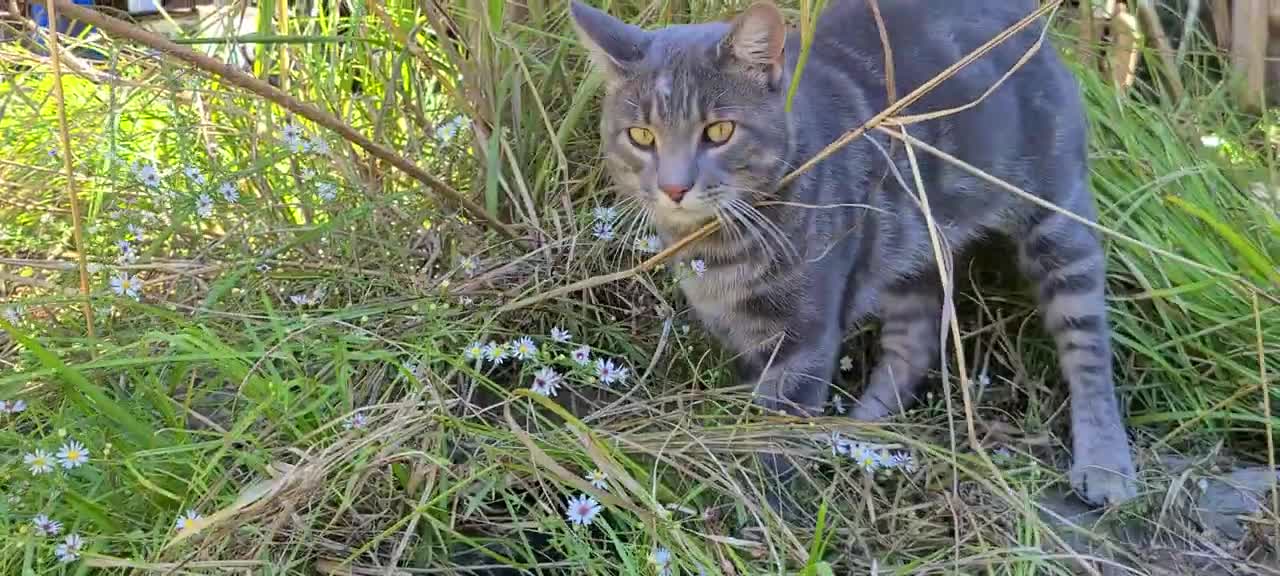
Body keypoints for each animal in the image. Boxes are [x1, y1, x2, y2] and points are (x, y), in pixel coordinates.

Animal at [570, 0, 1141, 504]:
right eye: (641, 136)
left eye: (719, 130)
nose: (674, 187)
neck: (718, 249)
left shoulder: (803, 339)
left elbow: (775, 440)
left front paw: (767, 512)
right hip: (910, 246)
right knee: (913, 341)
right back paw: (860, 436)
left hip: (1056, 221)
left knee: (1089, 346)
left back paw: (1105, 463)